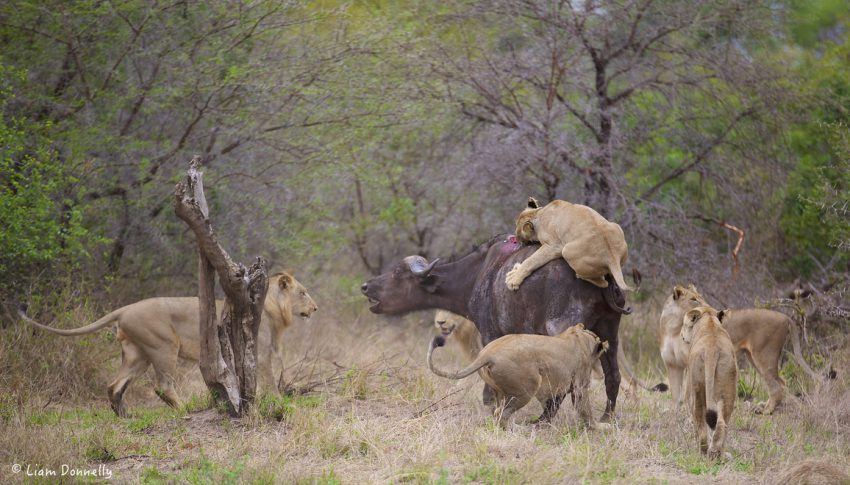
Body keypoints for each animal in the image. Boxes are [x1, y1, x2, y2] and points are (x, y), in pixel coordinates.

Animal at [18, 270, 316, 414]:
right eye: (303, 292)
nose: (315, 308)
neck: (275, 311)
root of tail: (124, 309)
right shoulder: (260, 353)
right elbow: (270, 381)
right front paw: (282, 403)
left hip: (137, 354)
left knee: (115, 385)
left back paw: (124, 415)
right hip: (163, 347)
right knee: (162, 386)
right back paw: (184, 410)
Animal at [428, 322, 608, 428]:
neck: (581, 337)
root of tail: (486, 354)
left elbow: (551, 407)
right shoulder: (579, 385)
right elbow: (585, 409)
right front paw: (599, 427)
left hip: (500, 392)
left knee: (497, 412)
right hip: (527, 388)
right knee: (502, 415)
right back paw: (519, 430)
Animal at [660, 286, 820, 414]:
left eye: (701, 298)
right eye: (693, 299)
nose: (711, 308)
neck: (673, 329)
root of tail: (785, 317)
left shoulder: (690, 362)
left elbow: (687, 393)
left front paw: (689, 413)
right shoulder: (672, 365)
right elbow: (675, 393)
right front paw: (674, 414)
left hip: (764, 355)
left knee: (777, 385)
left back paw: (766, 411)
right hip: (754, 358)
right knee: (779, 382)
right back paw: (763, 407)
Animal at [684, 304, 736, 460]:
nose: (682, 335)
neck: (709, 321)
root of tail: (711, 348)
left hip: (696, 390)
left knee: (700, 423)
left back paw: (703, 452)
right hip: (727, 389)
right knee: (721, 423)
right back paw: (717, 454)